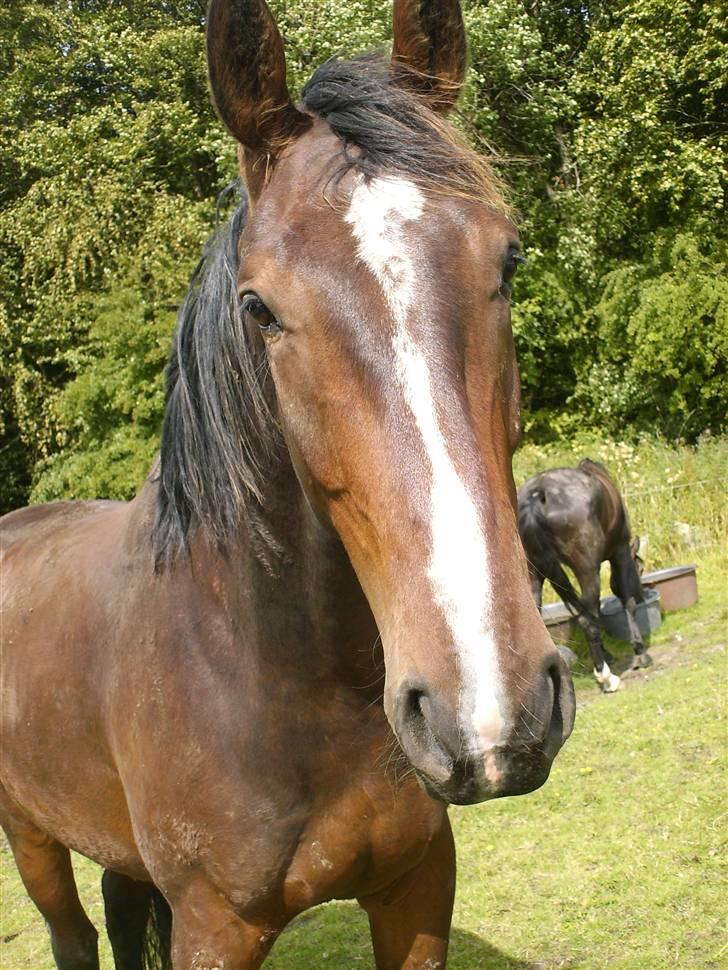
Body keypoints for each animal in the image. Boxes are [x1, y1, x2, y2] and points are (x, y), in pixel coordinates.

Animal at [1, 3, 576, 964]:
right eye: (259, 309)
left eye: (509, 262)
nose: (491, 708)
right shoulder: (213, 927)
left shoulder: (418, 890)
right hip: (31, 835)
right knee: (71, 936)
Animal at [516, 458, 652, 692]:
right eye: (640, 569)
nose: (643, 595)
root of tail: (539, 492)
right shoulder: (620, 554)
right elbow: (626, 603)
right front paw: (639, 653)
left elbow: (594, 611)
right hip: (587, 571)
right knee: (587, 619)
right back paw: (607, 678)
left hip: (534, 573)